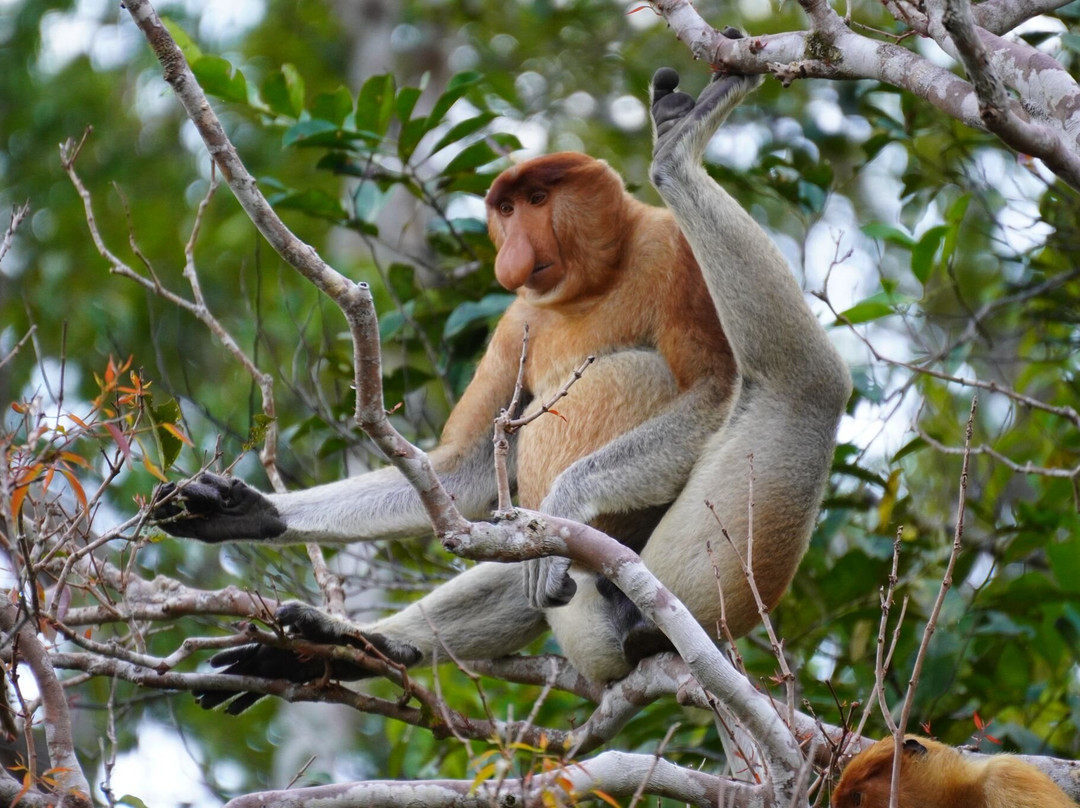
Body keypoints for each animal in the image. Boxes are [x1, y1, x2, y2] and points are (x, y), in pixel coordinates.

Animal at [154, 60, 851, 709]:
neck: (590, 287)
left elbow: (712, 391)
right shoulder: (518, 318)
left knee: (805, 386)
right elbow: (460, 472)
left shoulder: (670, 249)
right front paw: (240, 510)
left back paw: (677, 151)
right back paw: (351, 646)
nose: (512, 249)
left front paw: (568, 498)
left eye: (541, 199)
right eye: (508, 209)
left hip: (703, 578)